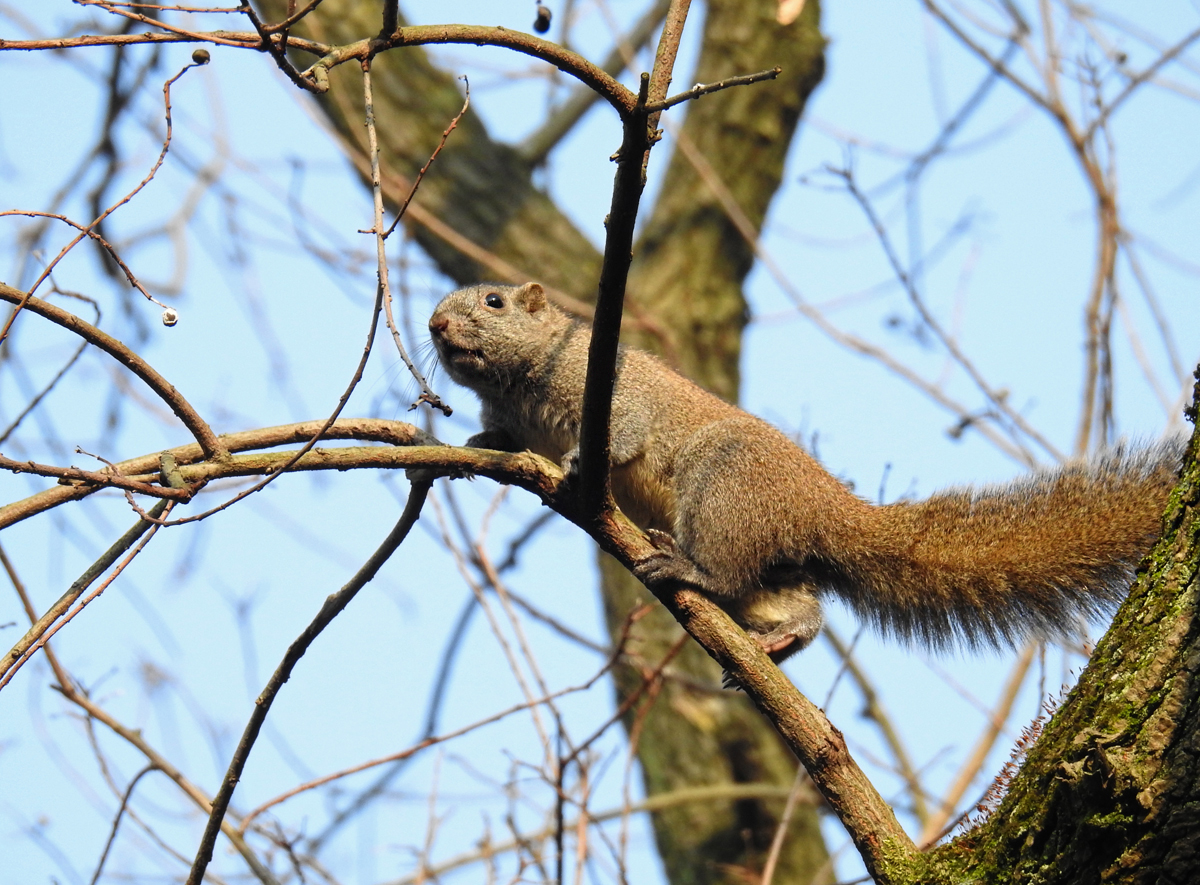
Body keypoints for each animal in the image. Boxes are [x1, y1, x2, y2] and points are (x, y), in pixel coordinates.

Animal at [429, 279, 1180, 666]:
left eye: (493, 302)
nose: (435, 325)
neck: (524, 382)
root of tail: (827, 509)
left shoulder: (612, 385)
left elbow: (624, 433)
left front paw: (584, 459)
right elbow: (501, 435)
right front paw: (478, 442)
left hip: (725, 485)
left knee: (726, 568)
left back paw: (689, 568)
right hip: (778, 562)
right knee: (792, 602)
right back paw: (783, 636)